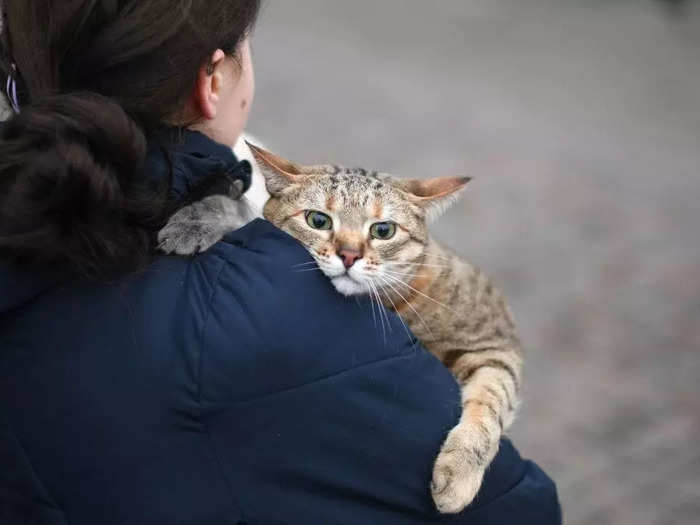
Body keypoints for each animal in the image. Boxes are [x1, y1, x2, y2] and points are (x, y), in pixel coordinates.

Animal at [159, 143, 520, 512]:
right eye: (318, 220)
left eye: (383, 230)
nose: (348, 255)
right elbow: (243, 212)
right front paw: (196, 220)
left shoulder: (494, 343)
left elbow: (491, 402)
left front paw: (459, 470)